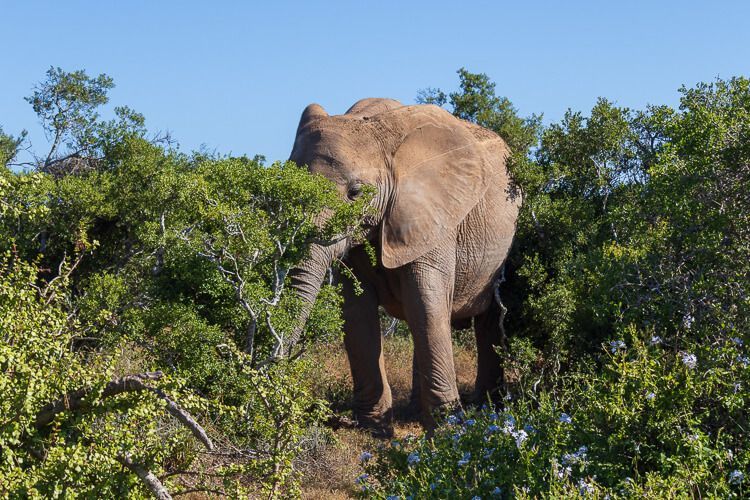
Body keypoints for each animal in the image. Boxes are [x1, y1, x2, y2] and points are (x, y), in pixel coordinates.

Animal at [288, 98, 520, 433]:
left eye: (355, 193)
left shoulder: (434, 216)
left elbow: (425, 302)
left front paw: (449, 429)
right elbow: (357, 310)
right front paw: (373, 427)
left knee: (483, 317)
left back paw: (488, 406)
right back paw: (415, 411)